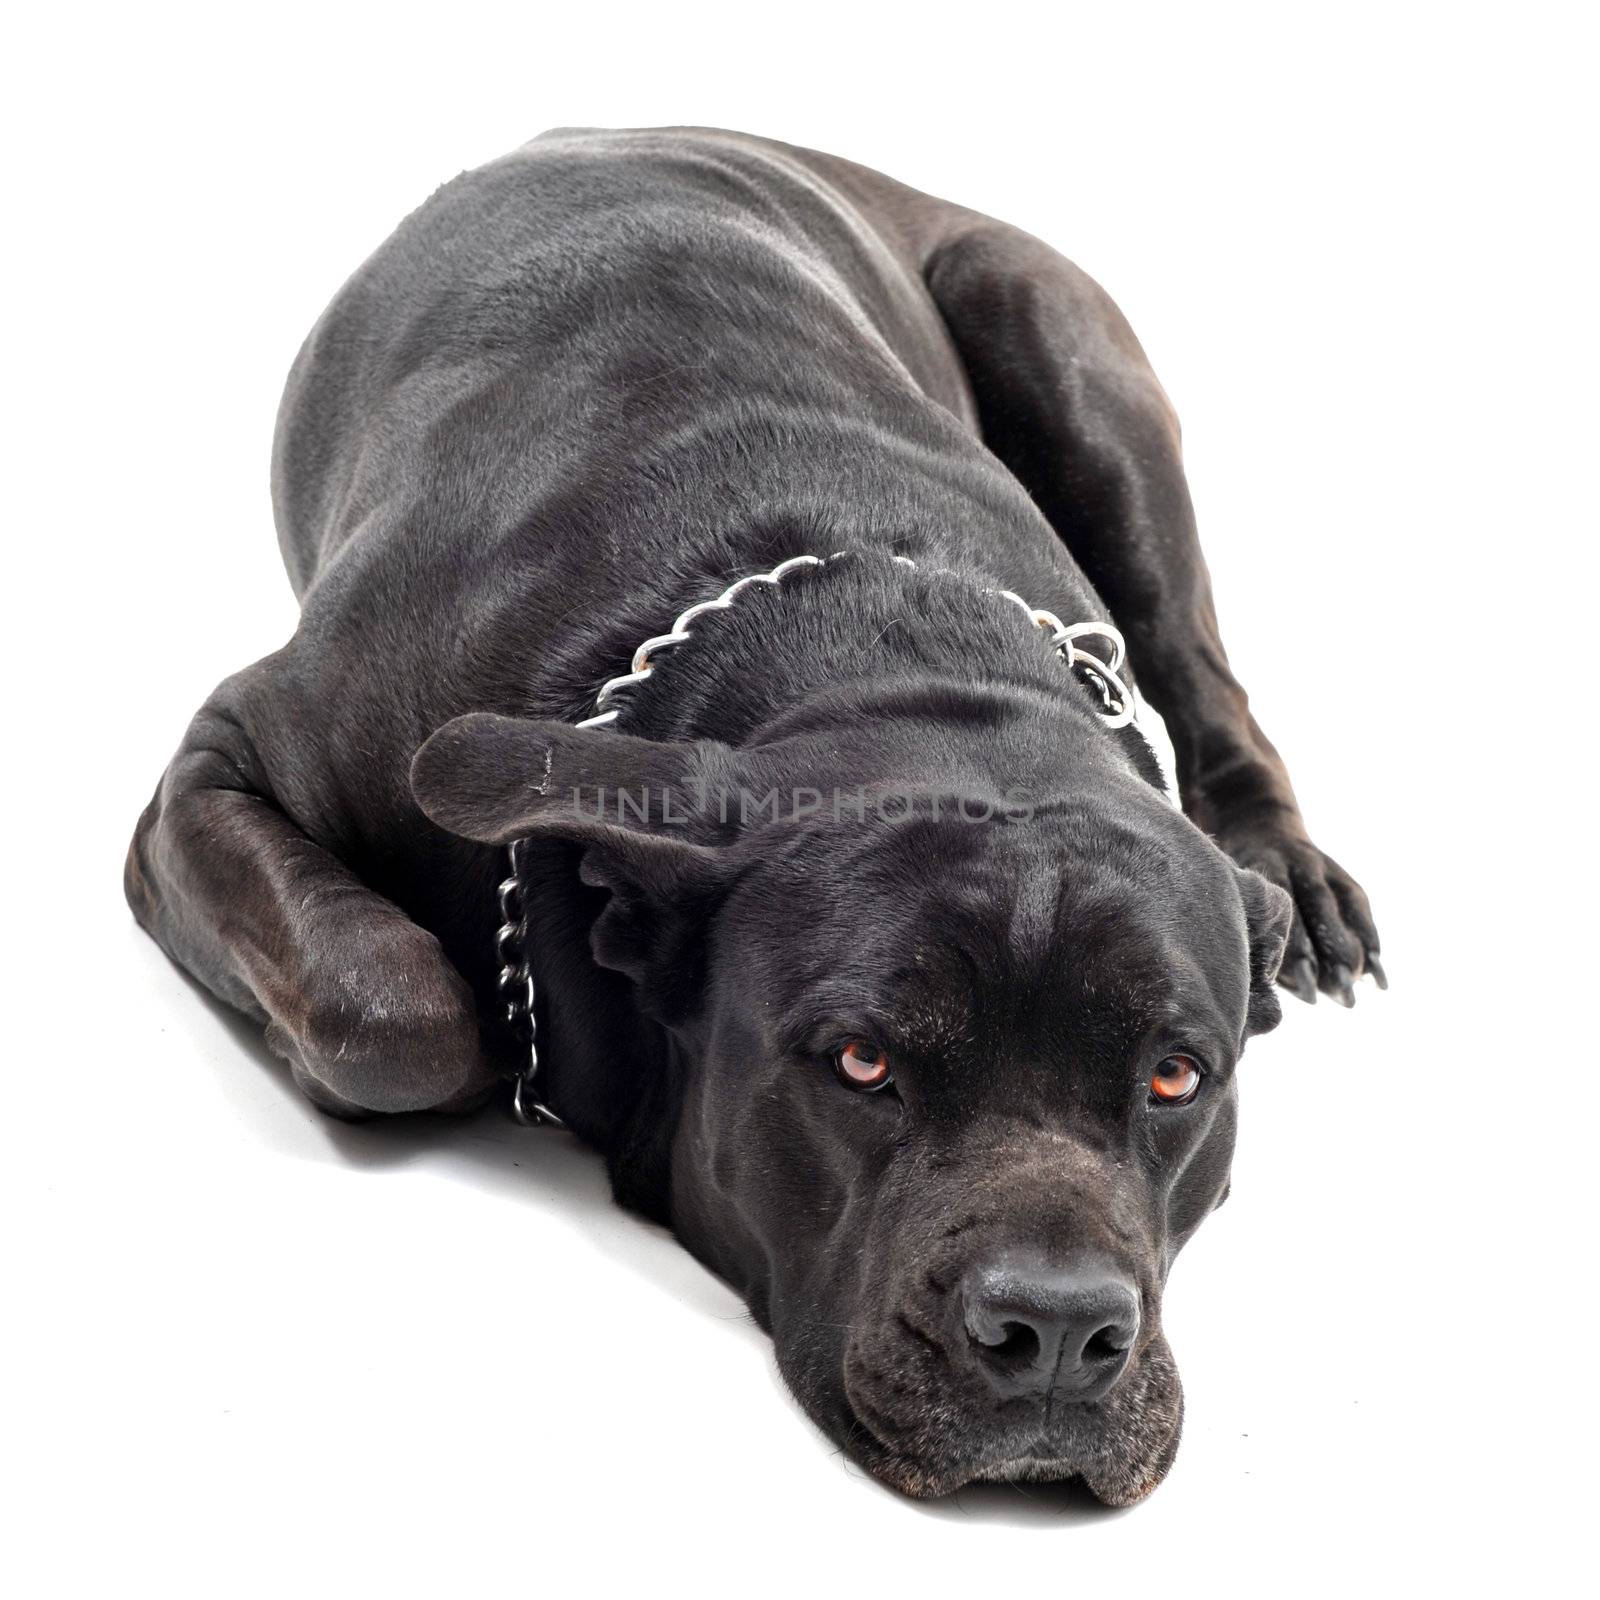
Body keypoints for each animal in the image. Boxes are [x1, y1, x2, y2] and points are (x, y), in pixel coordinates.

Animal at [124, 124, 1376, 1497]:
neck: (876, 651)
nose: (1054, 1330)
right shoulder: (225, 759)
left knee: (1198, 658)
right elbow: (393, 1014)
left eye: (1173, 1076)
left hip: (1063, 344)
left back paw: (1294, 877)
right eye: (860, 1061)